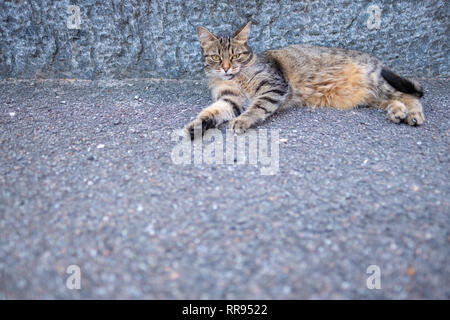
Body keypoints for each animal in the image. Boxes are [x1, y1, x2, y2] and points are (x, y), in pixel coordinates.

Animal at [185, 21, 424, 139]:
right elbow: (211, 113)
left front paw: (242, 120)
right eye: (217, 58)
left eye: (235, 56)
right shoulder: (230, 100)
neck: (234, 79)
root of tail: (376, 60)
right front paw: (194, 126)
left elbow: (256, 107)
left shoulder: (273, 86)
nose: (226, 67)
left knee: (410, 94)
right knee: (393, 99)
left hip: (379, 82)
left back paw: (413, 114)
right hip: (369, 97)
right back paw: (397, 111)